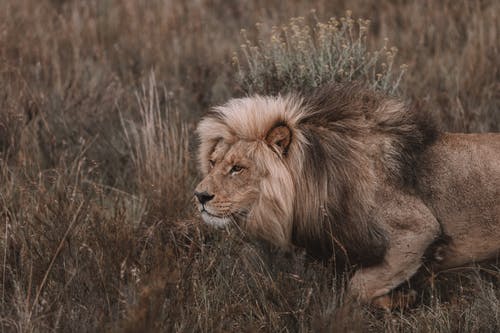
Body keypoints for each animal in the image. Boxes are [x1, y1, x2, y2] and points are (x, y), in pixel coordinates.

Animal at [193, 82, 500, 304]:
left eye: (237, 168)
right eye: (213, 162)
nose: (200, 196)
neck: (316, 178)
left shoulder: (418, 229)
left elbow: (358, 287)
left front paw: (403, 299)